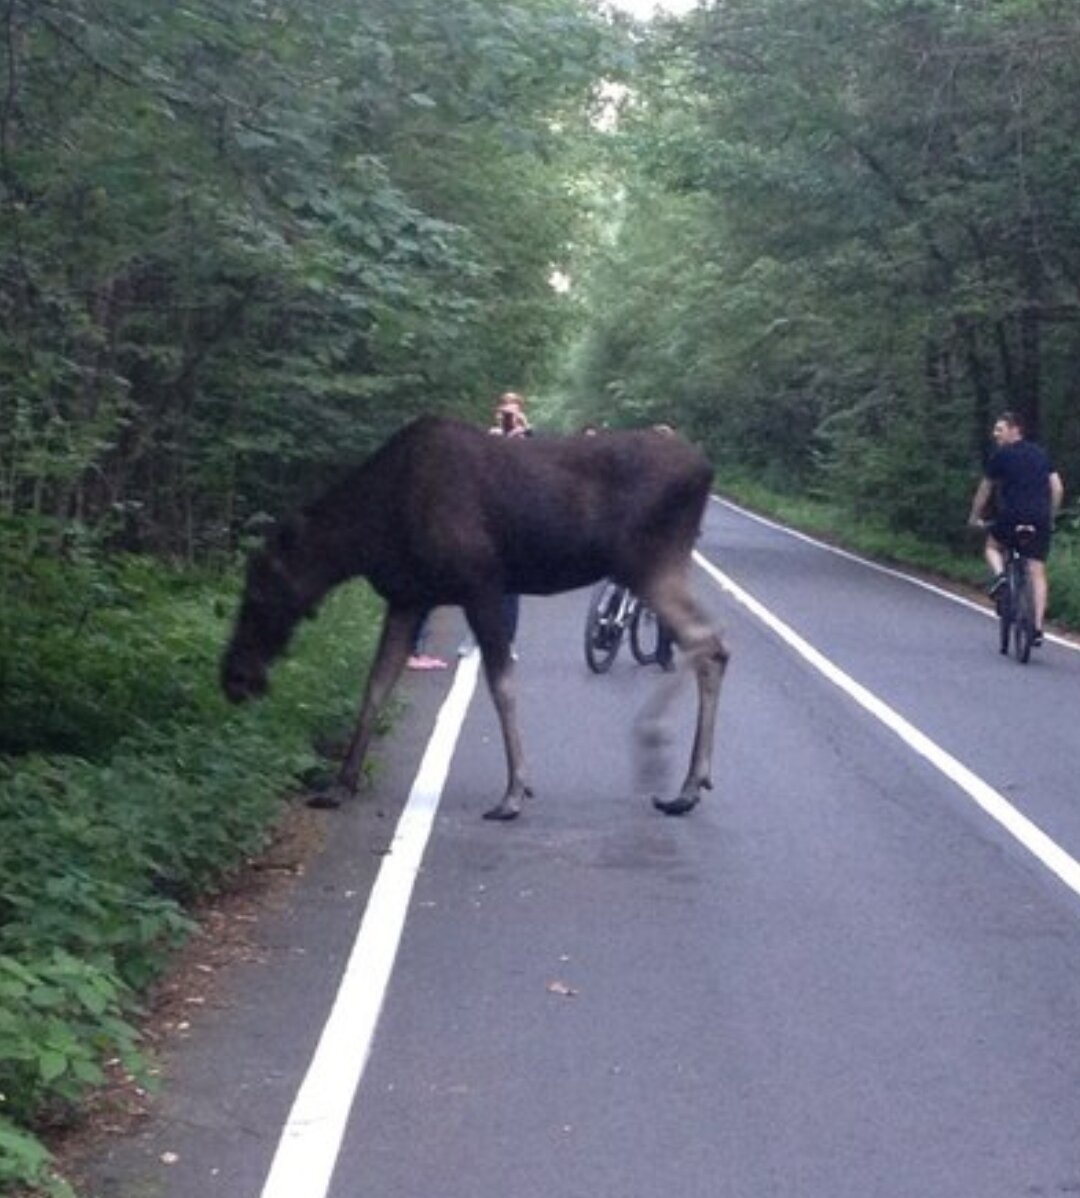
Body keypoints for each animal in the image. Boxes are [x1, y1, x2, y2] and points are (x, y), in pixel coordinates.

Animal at [221, 416, 732, 819]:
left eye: (260, 593)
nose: (234, 678)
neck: (368, 536)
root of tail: (706, 470)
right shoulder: (407, 599)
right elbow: (375, 687)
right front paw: (339, 784)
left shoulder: (480, 585)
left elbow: (501, 685)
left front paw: (514, 791)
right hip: (654, 566)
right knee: (712, 645)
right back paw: (689, 783)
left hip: (646, 562)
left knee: (705, 642)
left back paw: (666, 759)